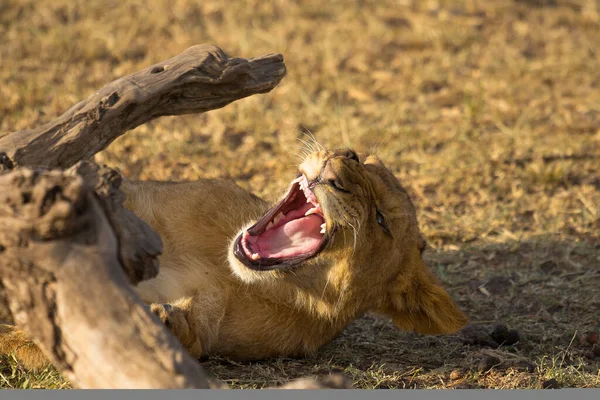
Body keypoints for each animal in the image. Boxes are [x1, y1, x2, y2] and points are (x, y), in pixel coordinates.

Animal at [0, 147, 468, 368]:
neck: (224, 269)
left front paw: (163, 321)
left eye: (381, 219)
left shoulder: (213, 327)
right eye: (354, 158)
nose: (334, 172)